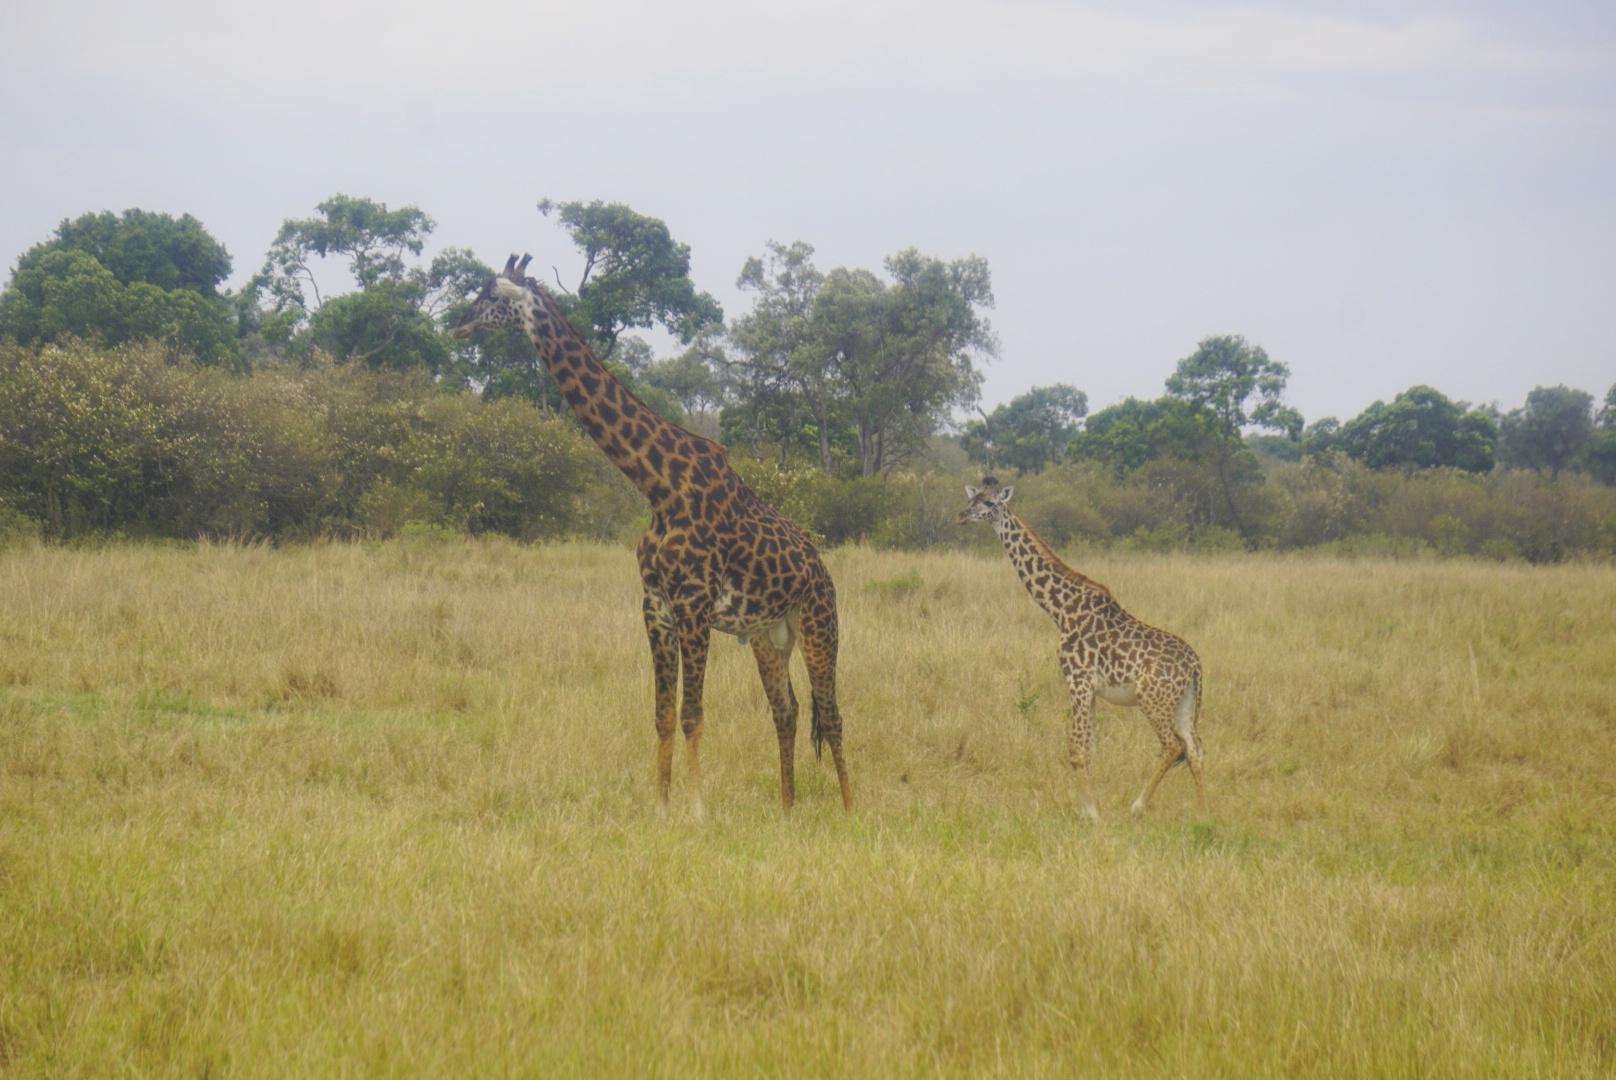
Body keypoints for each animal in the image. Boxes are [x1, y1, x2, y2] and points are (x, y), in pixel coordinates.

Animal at [442, 253, 846, 814]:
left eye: (491, 294)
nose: (456, 325)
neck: (658, 486)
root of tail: (822, 569)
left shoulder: (695, 604)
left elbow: (692, 714)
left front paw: (696, 812)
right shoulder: (655, 605)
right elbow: (661, 714)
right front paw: (661, 808)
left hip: (819, 625)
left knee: (832, 715)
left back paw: (851, 810)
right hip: (768, 638)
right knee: (786, 712)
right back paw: (787, 811)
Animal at [950, 475, 1208, 821]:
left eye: (990, 503)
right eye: (972, 497)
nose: (961, 515)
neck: (1061, 610)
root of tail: (1194, 666)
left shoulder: (1078, 679)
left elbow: (1075, 748)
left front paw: (1092, 812)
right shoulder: (1092, 687)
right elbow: (1090, 747)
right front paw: (1089, 806)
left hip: (1152, 699)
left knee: (1173, 745)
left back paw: (1138, 807)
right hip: (1184, 702)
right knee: (1195, 748)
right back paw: (1204, 813)